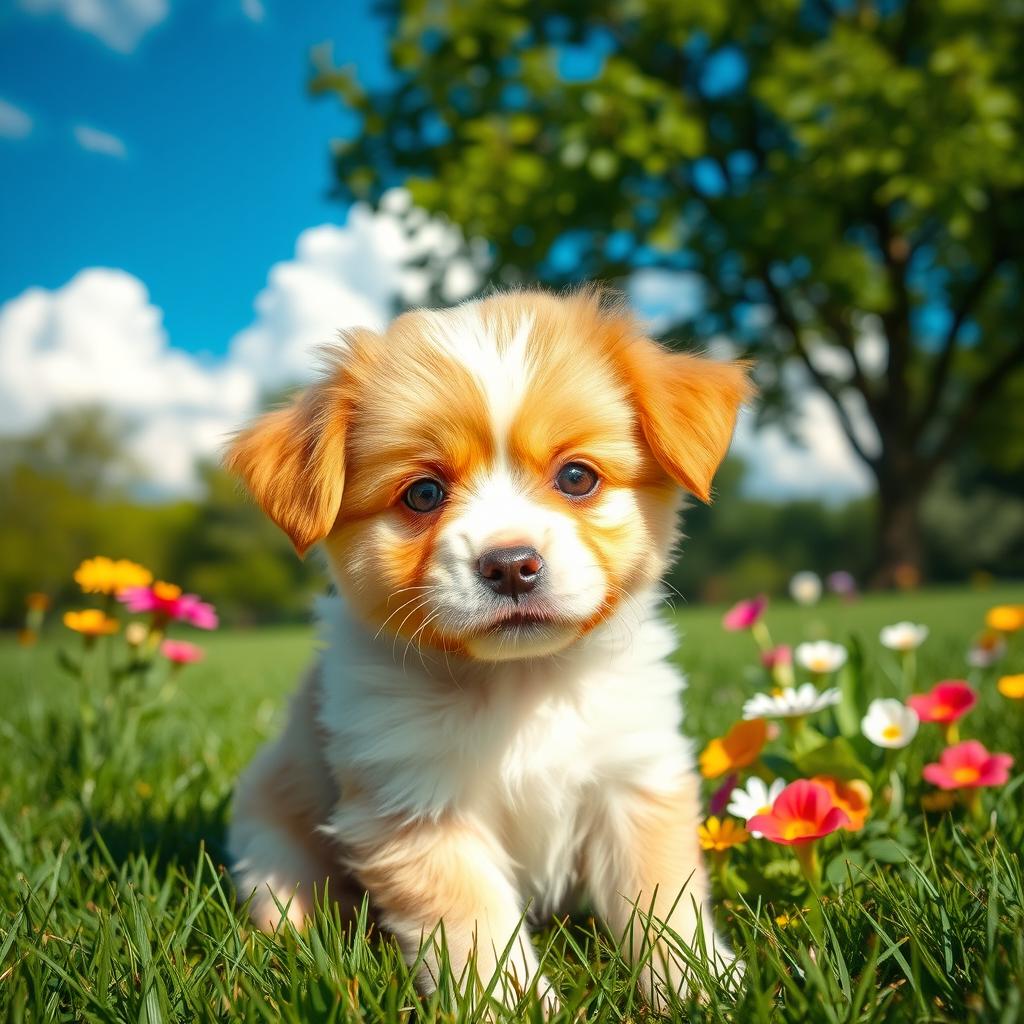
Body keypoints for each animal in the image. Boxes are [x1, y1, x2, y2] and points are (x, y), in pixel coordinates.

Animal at [226, 288, 753, 1007]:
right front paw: (517, 1005)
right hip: (268, 835)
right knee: (286, 899)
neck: (520, 685)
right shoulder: (417, 808)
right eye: (423, 493)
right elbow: (475, 930)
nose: (510, 566)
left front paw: (701, 984)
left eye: (577, 477)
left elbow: (662, 899)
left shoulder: (635, 775)